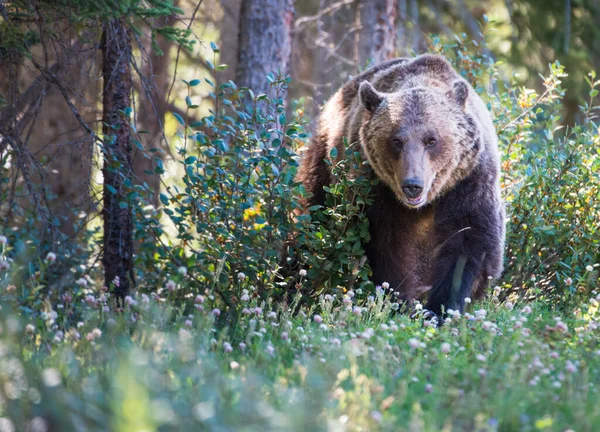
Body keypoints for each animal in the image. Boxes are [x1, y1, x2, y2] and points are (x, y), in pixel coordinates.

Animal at [298, 55, 504, 316]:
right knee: (312, 217)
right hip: (327, 163)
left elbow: (469, 244)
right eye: (396, 140)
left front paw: (441, 308)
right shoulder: (376, 189)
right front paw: (399, 301)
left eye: (431, 140)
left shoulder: (469, 182)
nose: (412, 185)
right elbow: (389, 245)